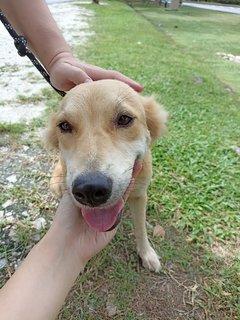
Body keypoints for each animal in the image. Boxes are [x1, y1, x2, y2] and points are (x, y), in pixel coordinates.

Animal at [44, 80, 167, 272]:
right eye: (64, 125)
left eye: (124, 119)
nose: (89, 190)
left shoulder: (140, 195)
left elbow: (140, 228)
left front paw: (146, 253)